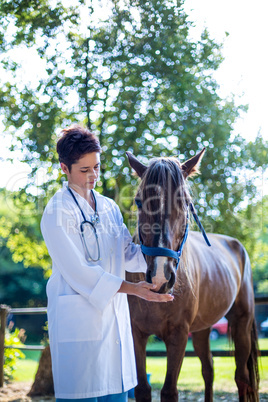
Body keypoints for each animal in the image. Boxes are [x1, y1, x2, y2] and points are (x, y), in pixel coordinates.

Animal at [125, 150, 260, 402]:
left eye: (185, 203)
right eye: (139, 201)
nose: (160, 277)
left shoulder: (178, 336)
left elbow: (169, 391)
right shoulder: (136, 334)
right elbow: (142, 390)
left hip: (241, 324)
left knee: (242, 378)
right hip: (201, 330)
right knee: (209, 370)